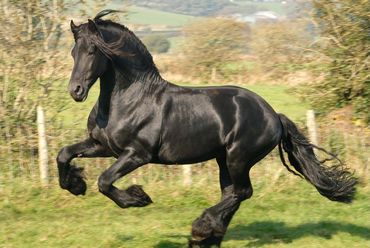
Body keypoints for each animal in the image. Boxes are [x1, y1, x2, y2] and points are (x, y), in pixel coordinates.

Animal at [57, 10, 356, 248]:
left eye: (93, 51)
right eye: (73, 52)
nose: (75, 91)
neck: (130, 99)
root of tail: (274, 115)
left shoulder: (137, 154)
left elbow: (105, 181)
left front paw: (138, 198)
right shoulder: (103, 146)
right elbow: (64, 154)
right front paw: (75, 185)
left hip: (238, 158)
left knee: (241, 192)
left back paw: (201, 229)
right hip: (223, 159)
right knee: (232, 194)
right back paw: (209, 237)